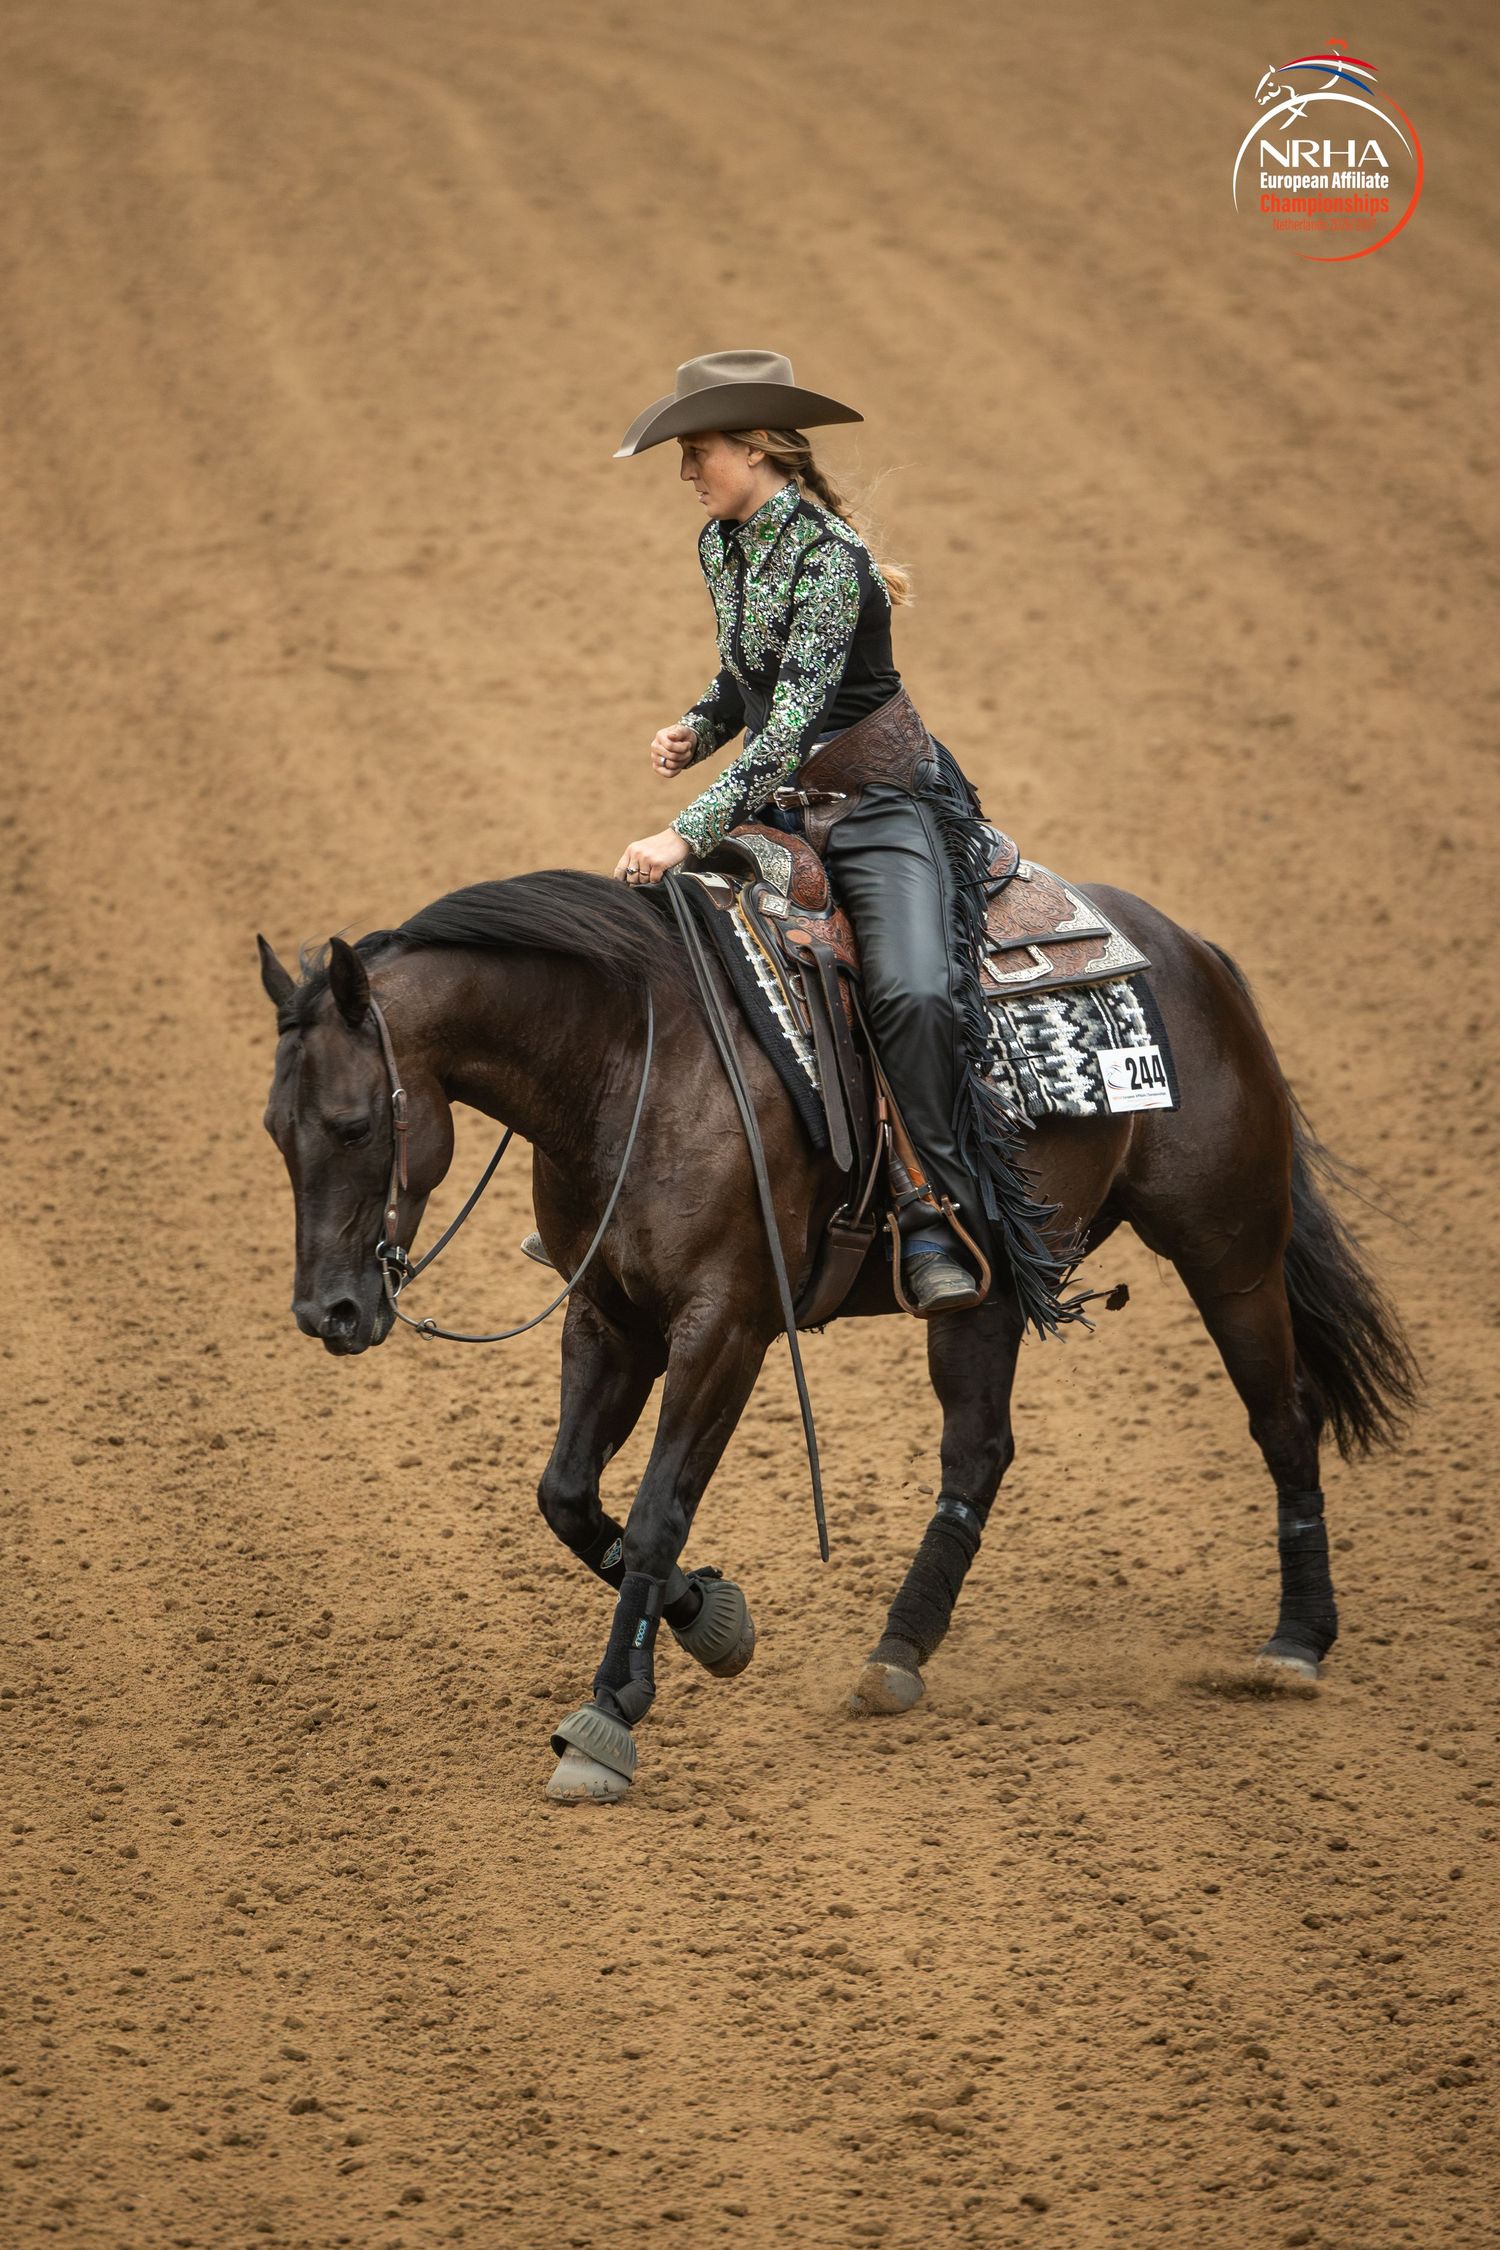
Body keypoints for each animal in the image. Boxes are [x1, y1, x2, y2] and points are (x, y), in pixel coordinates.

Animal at [257, 867, 1416, 1799]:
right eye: (275, 1130)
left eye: (353, 1125)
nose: (329, 1314)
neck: (637, 1063)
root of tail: (1191, 949)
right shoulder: (608, 1314)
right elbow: (569, 1497)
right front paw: (716, 1623)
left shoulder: (725, 1327)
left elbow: (658, 1511)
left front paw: (608, 1718)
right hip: (987, 1294)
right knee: (979, 1451)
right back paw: (898, 1653)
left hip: (1229, 1250)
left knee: (1284, 1415)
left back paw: (1295, 1643)